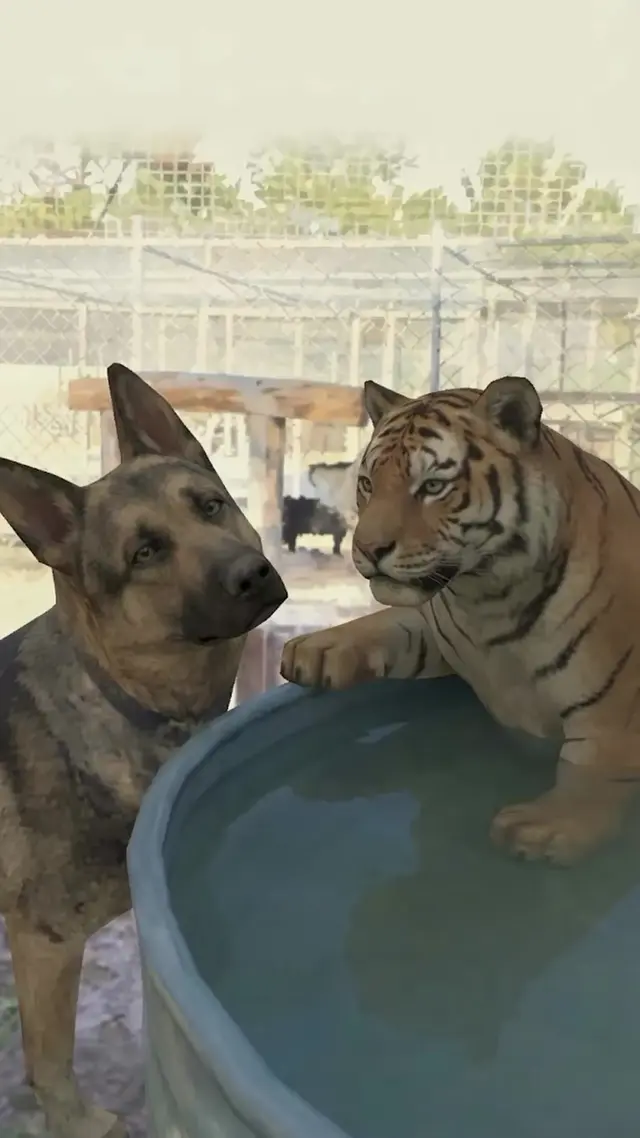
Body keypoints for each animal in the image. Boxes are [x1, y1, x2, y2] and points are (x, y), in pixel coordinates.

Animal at [281, 375, 640, 866]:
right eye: (368, 484)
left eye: (433, 486)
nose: (368, 550)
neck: (488, 599)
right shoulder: (444, 630)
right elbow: (390, 625)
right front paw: (318, 649)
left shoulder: (612, 707)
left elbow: (595, 767)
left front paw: (549, 823)